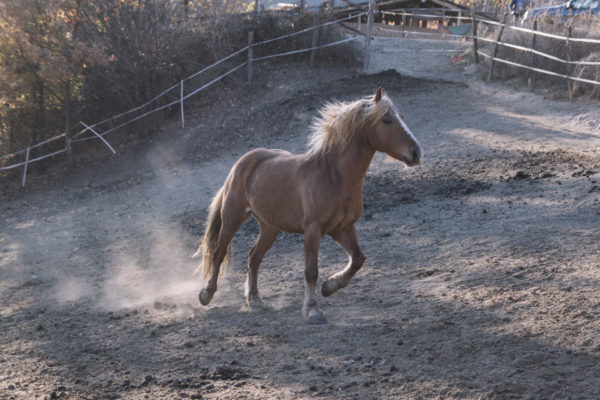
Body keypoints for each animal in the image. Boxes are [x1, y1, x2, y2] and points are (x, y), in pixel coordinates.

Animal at [193, 86, 422, 324]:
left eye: (401, 117)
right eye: (387, 120)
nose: (416, 153)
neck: (333, 176)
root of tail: (244, 161)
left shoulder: (343, 228)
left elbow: (358, 259)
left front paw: (329, 287)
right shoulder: (313, 229)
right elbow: (311, 270)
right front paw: (313, 310)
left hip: (270, 227)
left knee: (254, 257)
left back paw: (254, 300)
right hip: (233, 216)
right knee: (219, 252)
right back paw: (206, 294)